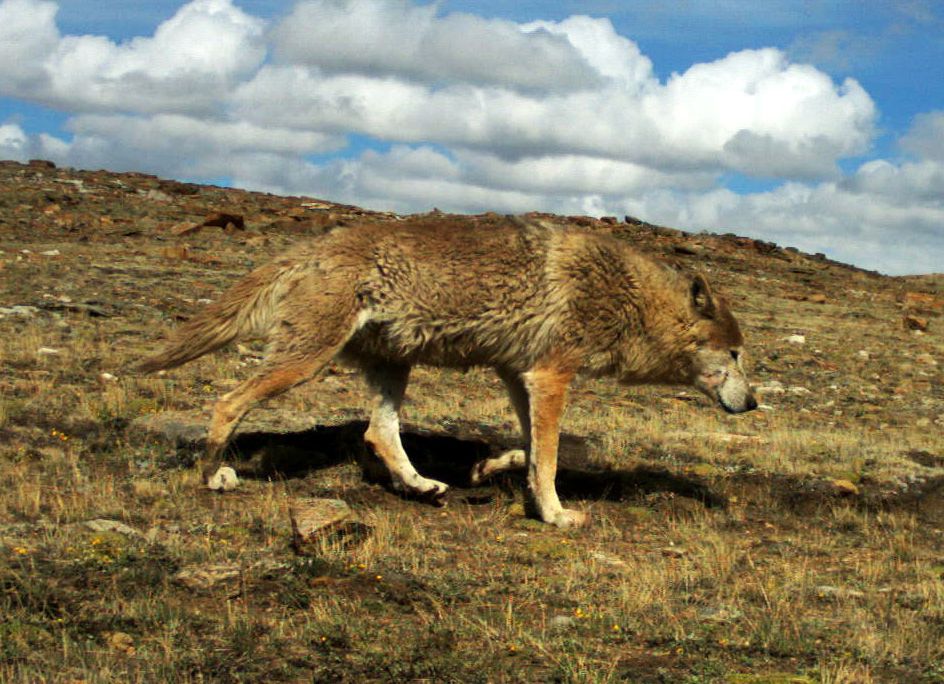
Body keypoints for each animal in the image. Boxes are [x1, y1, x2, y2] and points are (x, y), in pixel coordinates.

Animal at [139, 215, 756, 528]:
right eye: (734, 355)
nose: (752, 403)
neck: (627, 298)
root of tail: (313, 246)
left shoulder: (518, 376)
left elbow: (529, 451)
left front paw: (489, 471)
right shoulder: (551, 377)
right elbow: (551, 459)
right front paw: (556, 515)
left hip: (393, 367)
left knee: (378, 432)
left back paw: (421, 486)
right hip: (304, 362)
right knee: (227, 403)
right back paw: (213, 476)